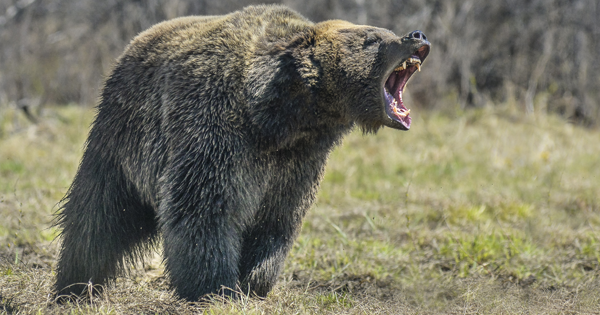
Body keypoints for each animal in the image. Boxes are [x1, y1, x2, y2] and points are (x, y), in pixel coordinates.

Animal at [54, 3, 428, 302]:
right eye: (372, 39)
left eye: (384, 32)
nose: (417, 34)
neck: (282, 118)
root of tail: (134, 43)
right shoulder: (218, 131)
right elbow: (204, 209)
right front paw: (215, 286)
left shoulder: (298, 163)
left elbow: (276, 220)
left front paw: (255, 281)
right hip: (123, 139)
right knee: (97, 215)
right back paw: (74, 286)